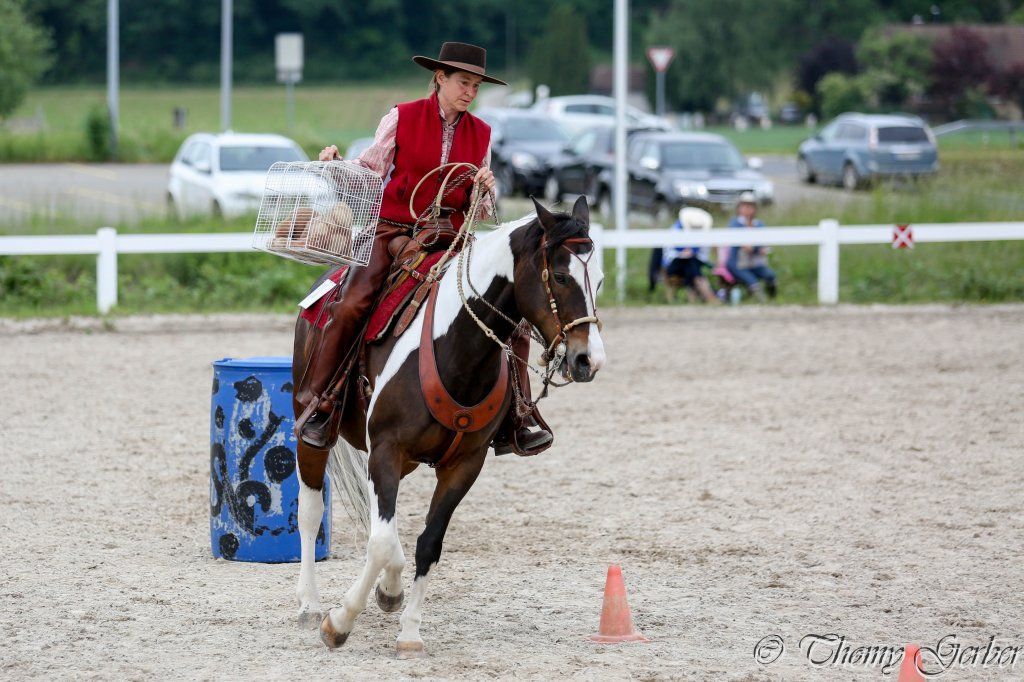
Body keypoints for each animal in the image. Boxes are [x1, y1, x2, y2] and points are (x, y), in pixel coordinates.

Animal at [290, 195, 605, 657]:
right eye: (562, 276)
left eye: (598, 281)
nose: (588, 360)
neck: (456, 349)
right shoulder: (386, 449)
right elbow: (382, 543)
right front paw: (339, 621)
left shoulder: (464, 465)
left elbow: (426, 543)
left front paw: (408, 629)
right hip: (314, 434)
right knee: (311, 513)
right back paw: (310, 605)